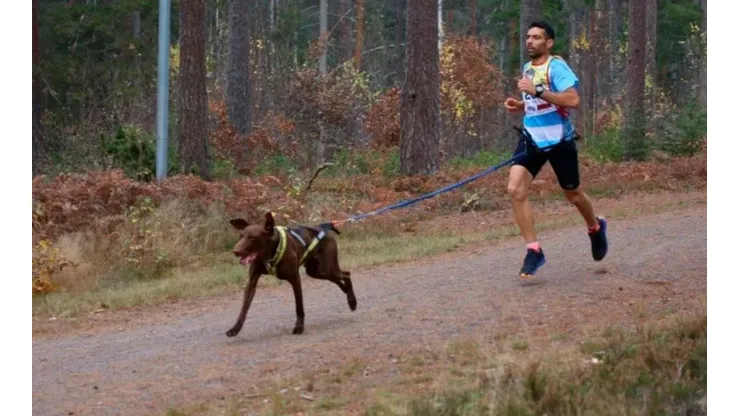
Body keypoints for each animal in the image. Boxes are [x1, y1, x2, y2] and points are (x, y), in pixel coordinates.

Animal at [225, 211, 356, 338]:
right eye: (241, 236)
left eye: (252, 237)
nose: (235, 251)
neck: (270, 253)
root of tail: (322, 229)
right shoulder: (251, 283)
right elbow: (243, 309)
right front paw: (235, 329)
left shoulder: (295, 279)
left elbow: (299, 306)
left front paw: (299, 327)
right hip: (316, 272)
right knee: (339, 277)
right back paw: (347, 293)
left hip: (327, 267)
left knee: (346, 275)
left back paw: (352, 301)